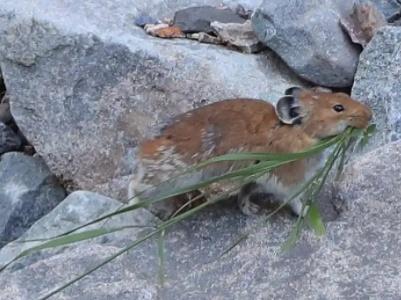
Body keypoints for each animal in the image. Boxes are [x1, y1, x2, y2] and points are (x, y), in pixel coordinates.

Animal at [128, 86, 372, 220]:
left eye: (341, 94)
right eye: (338, 107)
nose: (370, 115)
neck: (297, 132)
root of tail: (148, 146)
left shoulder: (252, 180)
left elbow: (245, 195)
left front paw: (251, 210)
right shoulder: (287, 180)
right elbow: (293, 199)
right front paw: (305, 213)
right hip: (170, 176)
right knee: (135, 186)